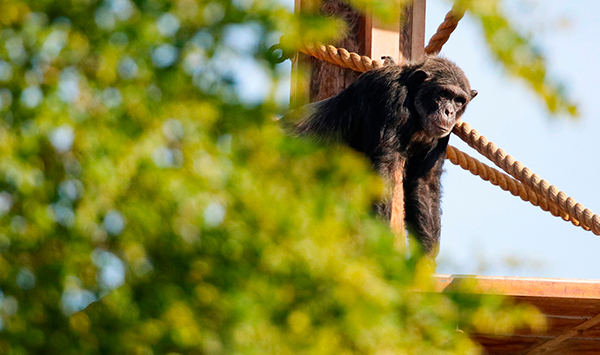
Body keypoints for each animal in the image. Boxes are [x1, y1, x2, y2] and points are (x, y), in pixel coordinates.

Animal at [290, 56, 478, 256]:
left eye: (459, 100)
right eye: (443, 93)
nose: (449, 111)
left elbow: (424, 183)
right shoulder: (390, 96)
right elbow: (384, 170)